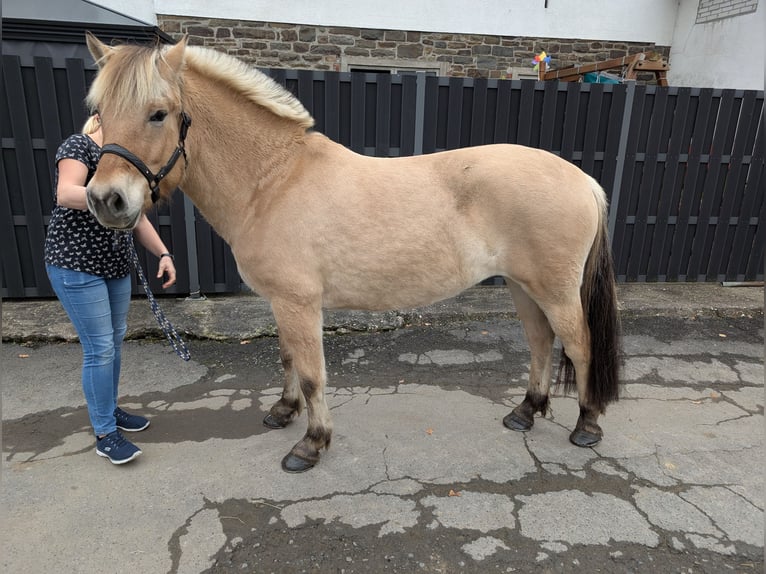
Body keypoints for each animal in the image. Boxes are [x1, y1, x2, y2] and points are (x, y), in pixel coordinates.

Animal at [85, 33, 624, 474]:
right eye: (99, 115)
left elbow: (311, 376)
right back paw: (525, 412)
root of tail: (584, 180)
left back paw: (587, 425)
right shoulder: (282, 303)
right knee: (540, 343)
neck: (273, 181)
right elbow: (288, 359)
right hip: (522, 286)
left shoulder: (300, 303)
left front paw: (310, 445)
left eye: (158, 113)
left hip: (554, 290)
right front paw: (282, 413)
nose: (106, 200)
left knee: (580, 346)